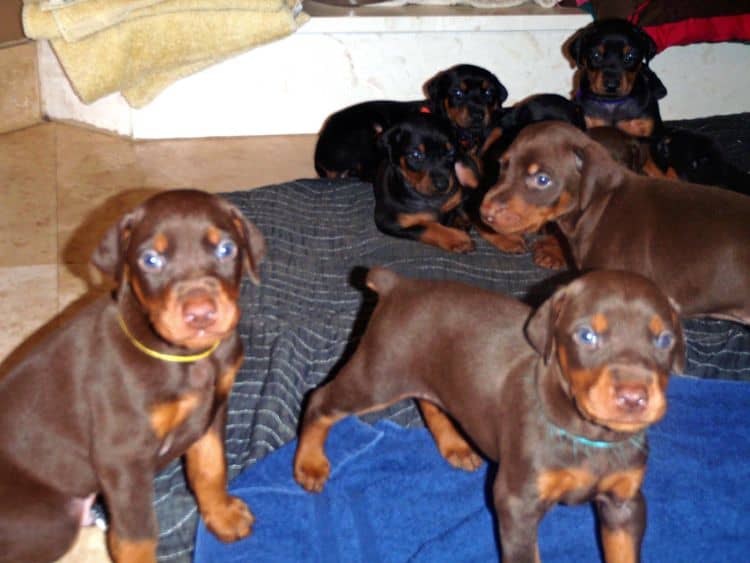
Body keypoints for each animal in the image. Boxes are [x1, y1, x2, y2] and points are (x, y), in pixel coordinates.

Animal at [0, 191, 268, 563]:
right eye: (151, 259)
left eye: (226, 249)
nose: (201, 314)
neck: (189, 358)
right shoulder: (123, 456)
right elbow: (136, 536)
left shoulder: (212, 412)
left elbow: (210, 468)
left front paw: (223, 516)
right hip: (50, 521)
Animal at [296, 270, 688, 563]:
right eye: (587, 335)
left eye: (665, 340)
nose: (633, 397)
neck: (588, 436)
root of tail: (399, 284)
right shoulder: (517, 503)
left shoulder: (625, 503)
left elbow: (623, 552)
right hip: (377, 378)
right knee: (319, 401)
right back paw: (309, 463)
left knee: (429, 401)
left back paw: (455, 446)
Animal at [374, 114, 478, 253]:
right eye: (416, 155)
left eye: (450, 152)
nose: (443, 185)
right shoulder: (387, 220)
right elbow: (427, 226)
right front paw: (459, 239)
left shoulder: (459, 194)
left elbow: (460, 206)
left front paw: (459, 222)